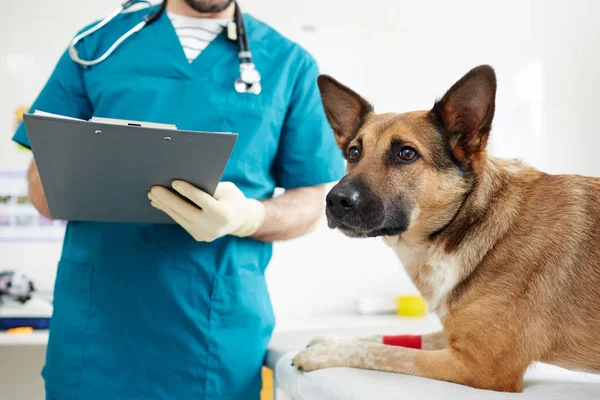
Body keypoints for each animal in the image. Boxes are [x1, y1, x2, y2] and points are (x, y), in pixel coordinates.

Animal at [292, 65, 600, 390]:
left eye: (406, 154)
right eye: (353, 153)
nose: (334, 200)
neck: (470, 219)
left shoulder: (477, 366)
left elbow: (383, 353)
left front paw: (324, 353)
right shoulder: (456, 337)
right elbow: (392, 338)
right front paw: (332, 339)